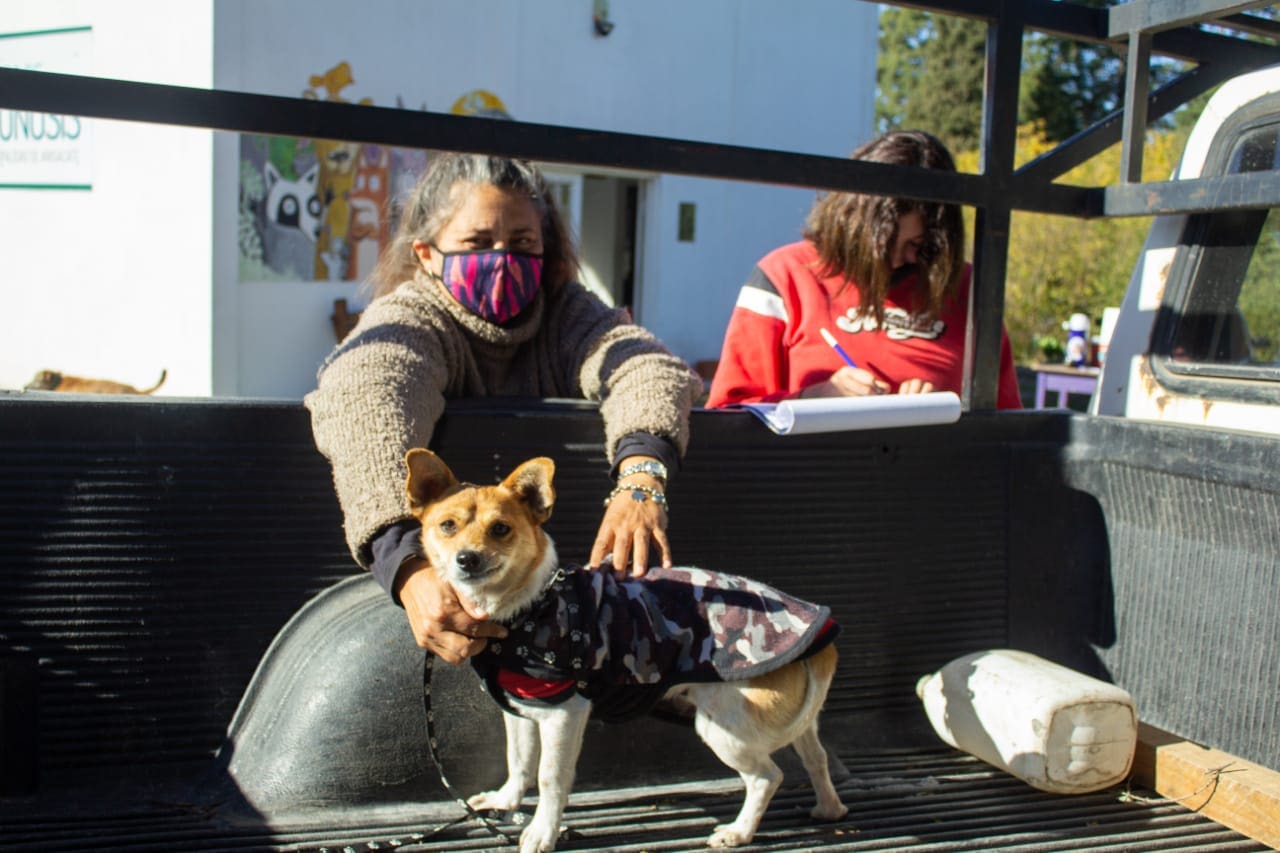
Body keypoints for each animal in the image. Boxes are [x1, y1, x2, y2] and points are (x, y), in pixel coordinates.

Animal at [399, 448, 844, 845]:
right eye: (447, 526)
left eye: (500, 530)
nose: (467, 559)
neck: (529, 603)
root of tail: (818, 631)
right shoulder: (522, 710)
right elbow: (519, 761)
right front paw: (505, 801)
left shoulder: (564, 713)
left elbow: (549, 777)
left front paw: (543, 831)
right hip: (794, 725)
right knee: (816, 757)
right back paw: (829, 808)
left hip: (724, 728)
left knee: (767, 778)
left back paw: (738, 832)